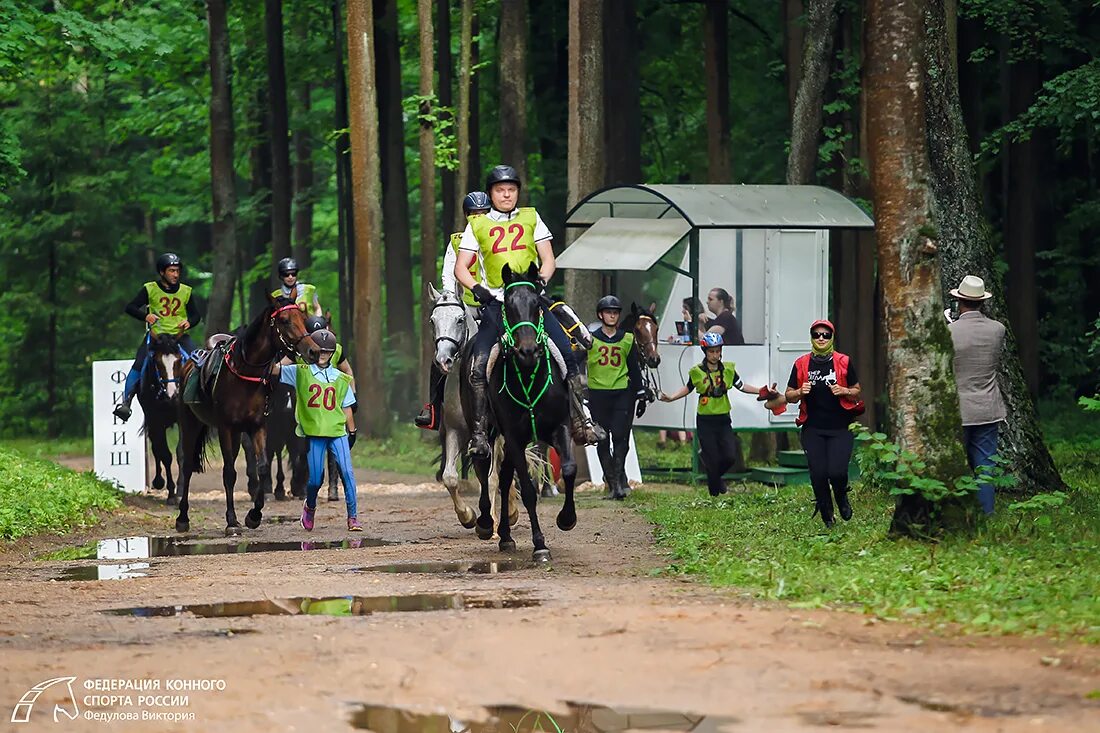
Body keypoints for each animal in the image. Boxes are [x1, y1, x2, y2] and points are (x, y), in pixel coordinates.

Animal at [172, 294, 319, 534]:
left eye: (303, 318)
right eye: (285, 320)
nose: (313, 351)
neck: (244, 375)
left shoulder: (257, 426)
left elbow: (262, 466)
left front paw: (254, 515)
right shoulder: (225, 428)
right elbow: (229, 473)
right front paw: (232, 521)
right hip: (190, 423)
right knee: (187, 466)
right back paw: (183, 517)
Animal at [484, 263, 585, 559]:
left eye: (536, 304)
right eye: (508, 304)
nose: (527, 350)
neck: (530, 377)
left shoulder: (559, 427)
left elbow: (569, 469)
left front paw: (566, 518)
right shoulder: (514, 438)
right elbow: (527, 490)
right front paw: (540, 545)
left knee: (505, 477)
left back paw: (505, 535)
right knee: (499, 477)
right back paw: (496, 531)